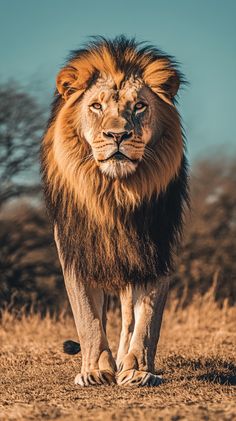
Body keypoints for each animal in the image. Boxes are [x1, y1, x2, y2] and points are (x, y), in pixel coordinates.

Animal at [40, 37, 188, 388]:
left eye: (139, 106)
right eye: (96, 106)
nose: (117, 135)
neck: (114, 194)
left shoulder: (156, 249)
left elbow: (147, 320)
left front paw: (138, 370)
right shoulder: (75, 250)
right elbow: (88, 316)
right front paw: (94, 370)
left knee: (128, 314)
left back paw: (123, 360)